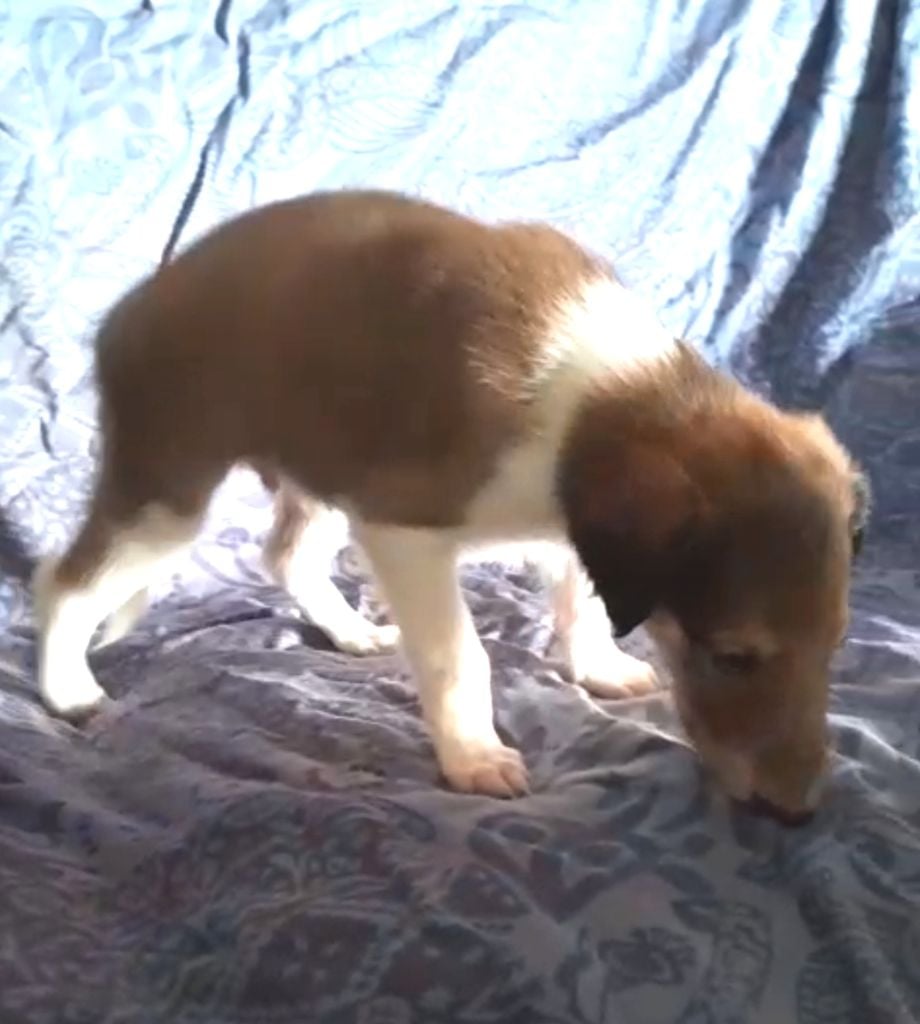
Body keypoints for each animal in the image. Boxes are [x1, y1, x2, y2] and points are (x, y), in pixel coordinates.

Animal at [33, 190, 869, 819]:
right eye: (733, 657)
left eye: (835, 642)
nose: (797, 813)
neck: (601, 397)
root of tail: (127, 311)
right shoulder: (405, 527)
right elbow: (461, 654)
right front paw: (475, 757)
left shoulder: (571, 529)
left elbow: (585, 604)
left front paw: (599, 669)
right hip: (169, 495)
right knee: (65, 583)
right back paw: (68, 691)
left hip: (328, 463)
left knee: (287, 554)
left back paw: (350, 633)